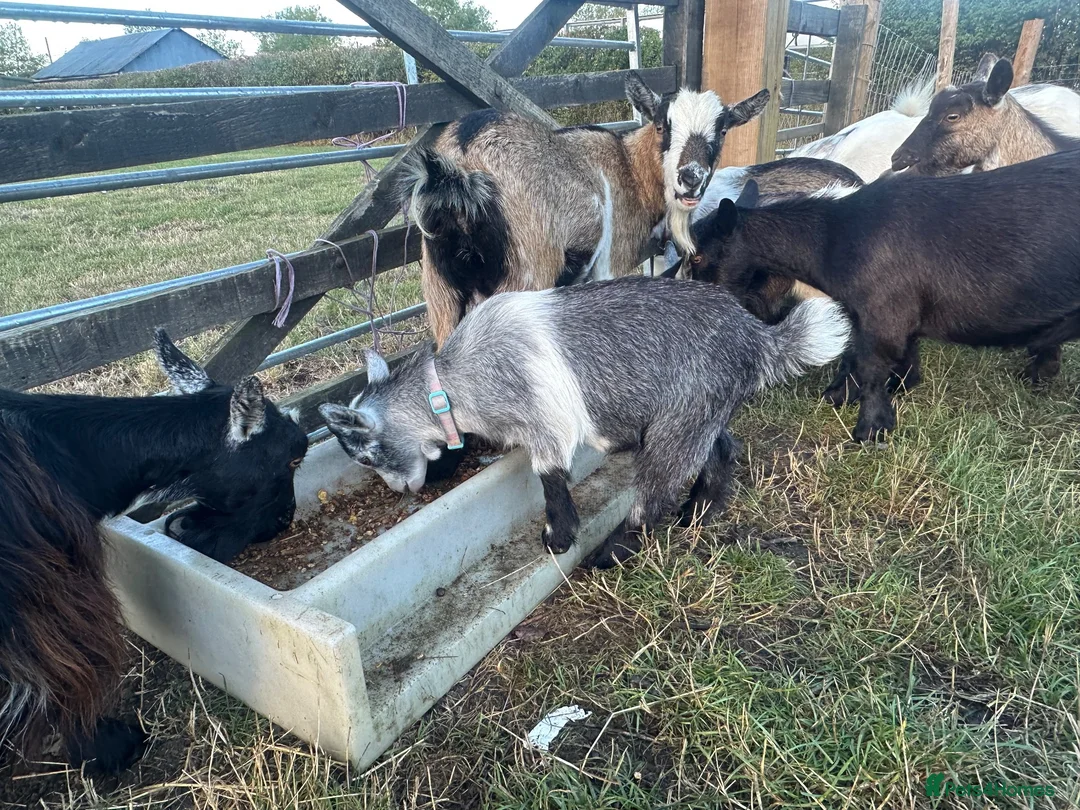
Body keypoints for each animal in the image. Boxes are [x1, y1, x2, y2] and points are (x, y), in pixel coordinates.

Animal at [319, 277, 849, 569]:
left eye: (366, 455)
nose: (399, 491)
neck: (451, 381)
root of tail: (757, 337)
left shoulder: (545, 424)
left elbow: (549, 476)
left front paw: (559, 537)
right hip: (700, 413)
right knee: (721, 449)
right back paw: (699, 512)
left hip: (680, 420)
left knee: (653, 496)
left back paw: (609, 555)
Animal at [405, 71, 770, 346]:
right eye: (662, 126)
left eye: (723, 130)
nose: (690, 178)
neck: (629, 168)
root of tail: (461, 164)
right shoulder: (610, 264)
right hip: (526, 275)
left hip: (442, 294)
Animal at [686, 150, 1080, 443]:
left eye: (698, 257)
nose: (702, 303)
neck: (834, 235)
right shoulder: (888, 316)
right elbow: (883, 359)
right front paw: (857, 396)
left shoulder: (883, 316)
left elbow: (870, 367)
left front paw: (869, 430)